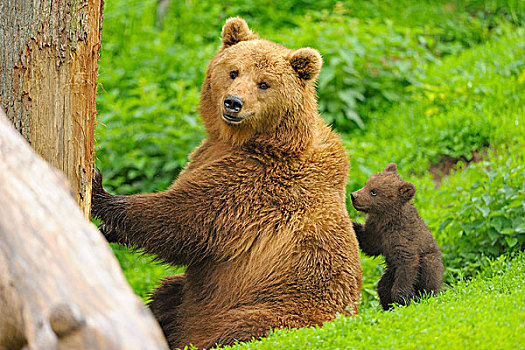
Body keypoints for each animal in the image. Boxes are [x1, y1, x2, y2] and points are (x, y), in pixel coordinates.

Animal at [91, 16, 360, 350]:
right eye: (233, 71)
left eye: (264, 83)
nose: (233, 102)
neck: (245, 140)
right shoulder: (208, 155)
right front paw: (108, 229)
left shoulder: (254, 184)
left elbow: (184, 219)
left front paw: (100, 191)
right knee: (168, 294)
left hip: (272, 308)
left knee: (235, 327)